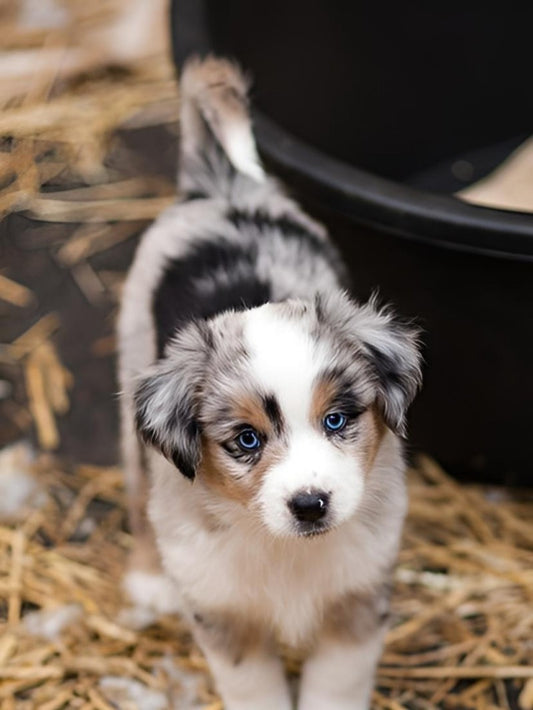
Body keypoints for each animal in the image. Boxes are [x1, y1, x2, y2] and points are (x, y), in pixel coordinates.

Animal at [118, 57, 422, 710]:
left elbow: (334, 689)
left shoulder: (357, 605)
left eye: (337, 420)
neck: (284, 548)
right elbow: (255, 690)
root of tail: (220, 189)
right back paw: (149, 581)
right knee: (137, 489)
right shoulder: (225, 615)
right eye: (246, 441)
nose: (310, 505)